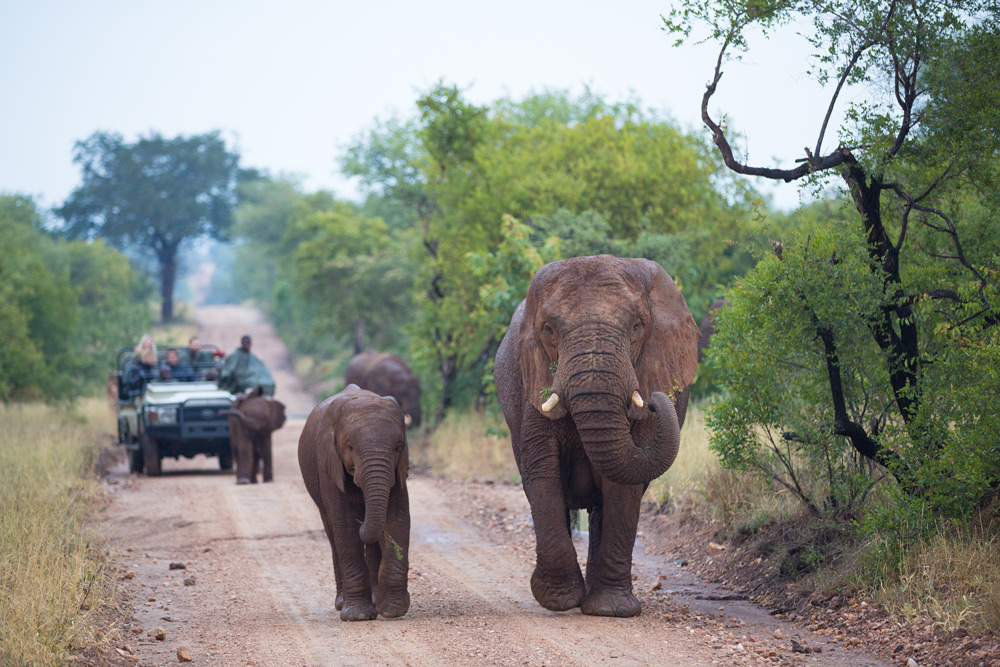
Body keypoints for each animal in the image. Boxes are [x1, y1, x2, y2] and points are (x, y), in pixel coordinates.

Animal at [296, 386, 410, 620]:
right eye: (349, 447)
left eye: (398, 446)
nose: (363, 519)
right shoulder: (328, 463)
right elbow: (345, 523)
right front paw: (357, 616)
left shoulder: (399, 468)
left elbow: (397, 518)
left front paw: (393, 611)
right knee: (332, 533)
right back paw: (341, 603)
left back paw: (375, 600)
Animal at [494, 254, 700, 616]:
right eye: (548, 329)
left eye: (637, 327)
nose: (656, 401)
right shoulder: (531, 378)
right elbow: (543, 474)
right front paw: (559, 601)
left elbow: (624, 485)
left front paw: (612, 610)